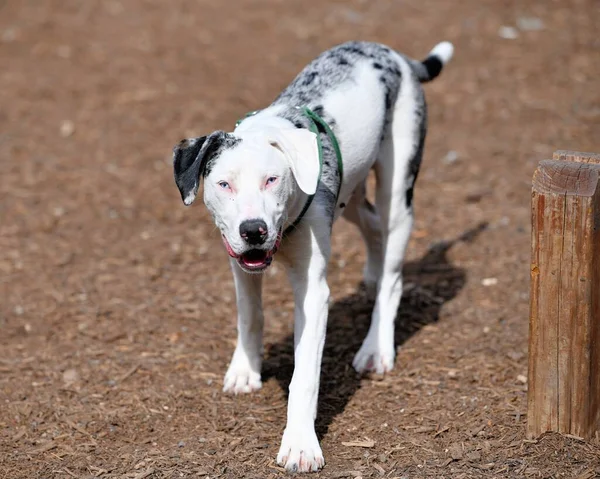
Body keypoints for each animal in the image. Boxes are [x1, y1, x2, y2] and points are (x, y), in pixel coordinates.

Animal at [173, 40, 454, 472]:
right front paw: (245, 370)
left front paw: (301, 445)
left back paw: (376, 347)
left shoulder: (312, 294)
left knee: (392, 275)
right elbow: (250, 317)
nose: (253, 230)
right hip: (350, 195)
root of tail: (394, 55)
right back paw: (371, 275)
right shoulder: (241, 267)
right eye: (223, 184)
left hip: (398, 189)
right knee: (372, 225)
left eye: (272, 179)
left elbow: (304, 377)